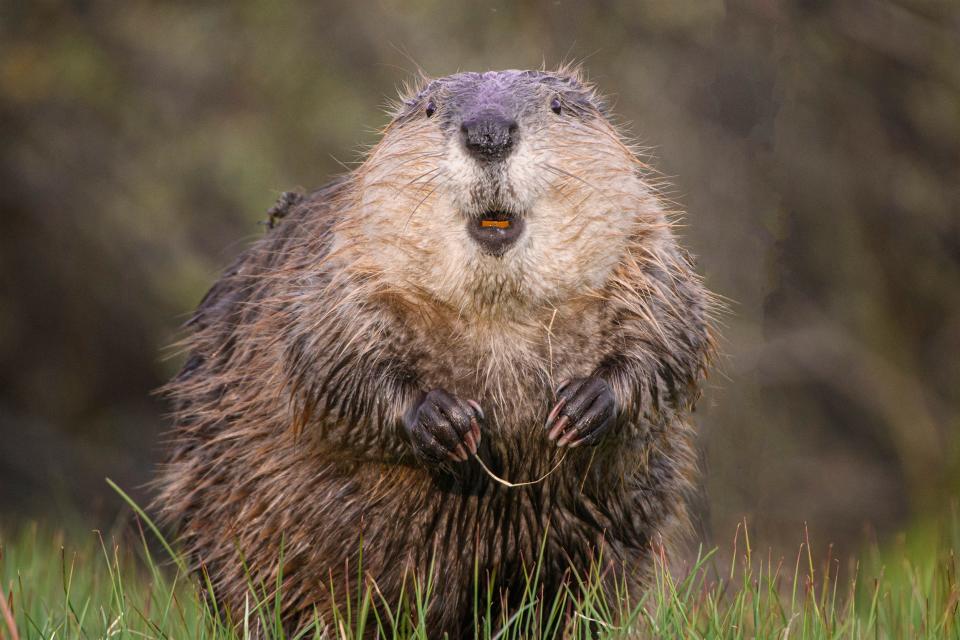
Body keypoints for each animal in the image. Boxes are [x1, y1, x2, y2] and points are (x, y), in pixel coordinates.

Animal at [156, 67, 712, 636]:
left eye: (557, 106)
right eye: (430, 110)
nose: (488, 133)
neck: (499, 313)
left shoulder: (646, 248)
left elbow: (673, 337)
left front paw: (579, 410)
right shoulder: (344, 263)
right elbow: (328, 360)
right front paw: (448, 423)